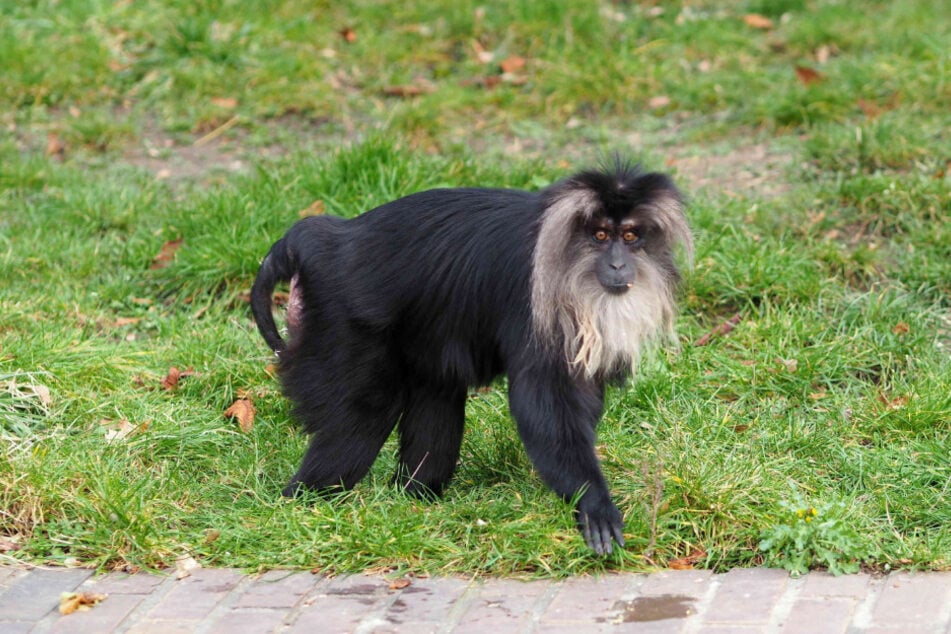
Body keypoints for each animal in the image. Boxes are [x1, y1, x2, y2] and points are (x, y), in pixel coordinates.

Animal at [251, 159, 692, 552]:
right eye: (600, 235)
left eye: (630, 236)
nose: (618, 264)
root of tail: (324, 239)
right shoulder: (534, 301)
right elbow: (542, 405)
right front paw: (594, 504)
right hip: (340, 320)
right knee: (364, 416)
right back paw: (304, 501)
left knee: (437, 394)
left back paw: (413, 499)